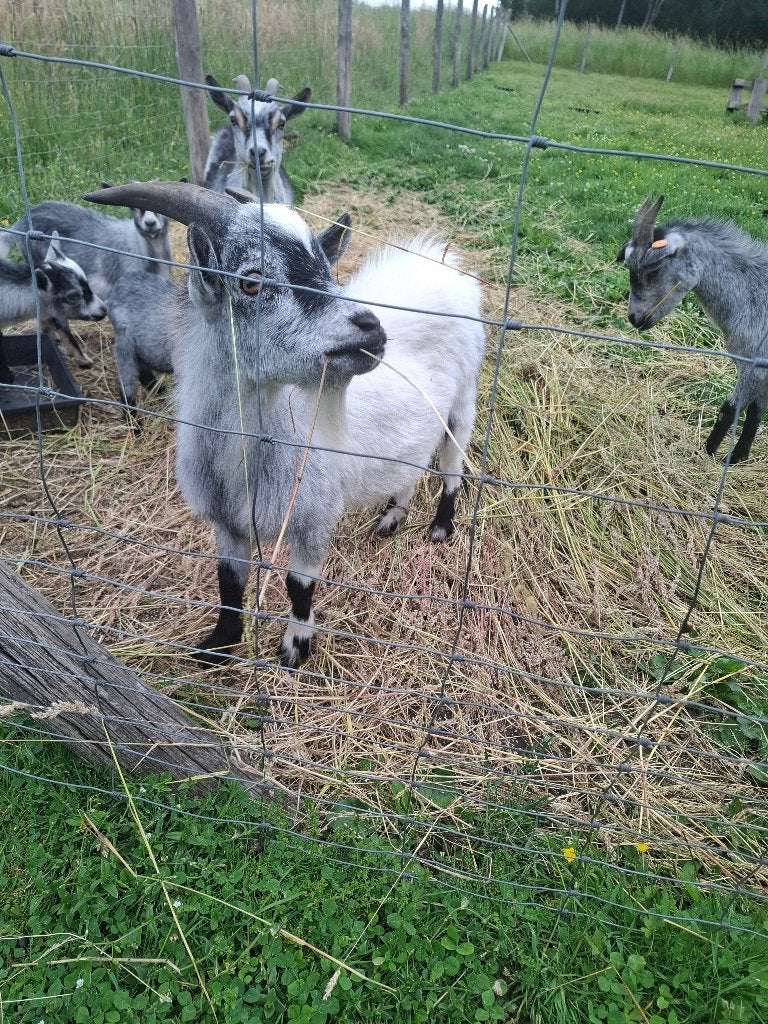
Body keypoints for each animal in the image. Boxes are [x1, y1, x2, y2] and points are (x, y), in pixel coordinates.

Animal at [86, 181, 484, 668]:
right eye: (251, 280)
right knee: (410, 463)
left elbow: (299, 586)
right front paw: (219, 645)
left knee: (452, 468)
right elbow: (228, 581)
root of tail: (440, 269)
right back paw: (393, 515)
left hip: (463, 402)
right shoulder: (227, 524)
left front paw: (295, 648)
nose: (371, 328)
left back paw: (441, 526)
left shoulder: (312, 515)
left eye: (325, 266)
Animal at [618, 194, 768, 463]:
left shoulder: (755, 367)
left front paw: (708, 454)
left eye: (654, 269)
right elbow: (755, 411)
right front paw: (739, 457)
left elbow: (729, 410)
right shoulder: (759, 368)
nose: (635, 318)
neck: (752, 293)